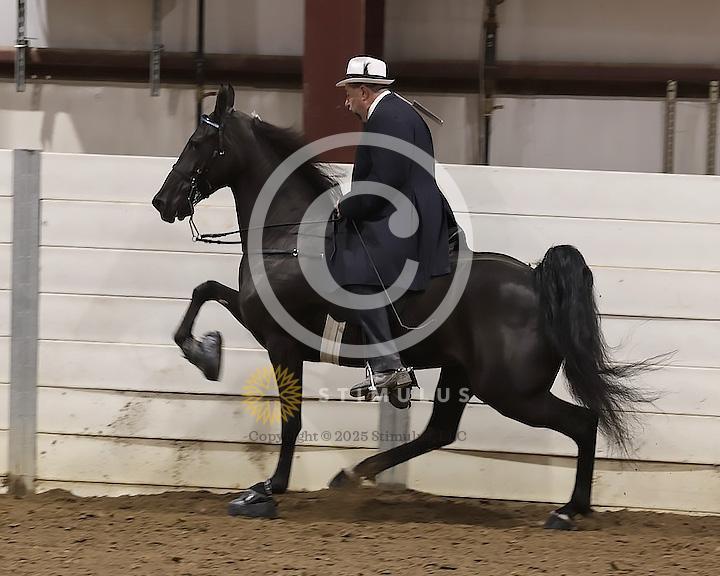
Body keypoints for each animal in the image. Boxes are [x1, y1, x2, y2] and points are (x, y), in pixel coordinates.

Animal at [152, 84, 651, 529]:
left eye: (197, 142)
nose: (162, 202)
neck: (289, 237)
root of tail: (533, 277)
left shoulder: (281, 342)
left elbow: (290, 422)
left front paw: (267, 489)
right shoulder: (255, 317)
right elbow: (204, 289)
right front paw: (205, 353)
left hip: (511, 390)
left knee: (583, 422)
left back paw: (569, 510)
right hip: (463, 374)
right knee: (440, 432)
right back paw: (355, 473)